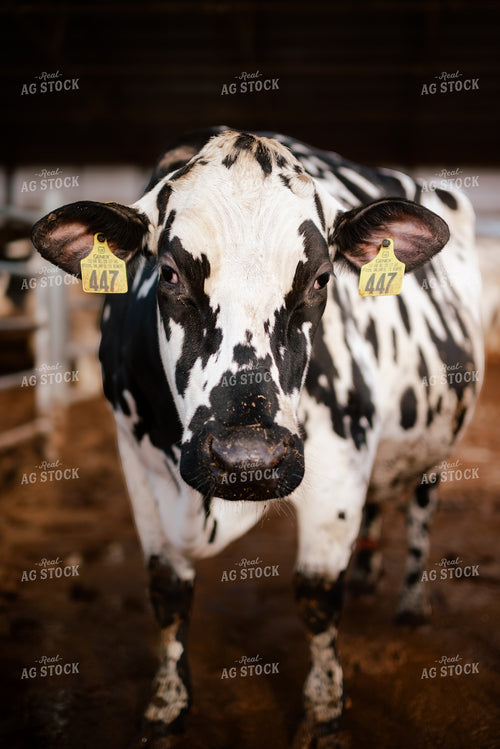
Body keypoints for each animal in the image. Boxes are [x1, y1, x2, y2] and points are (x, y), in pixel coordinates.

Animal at [31, 127, 483, 746]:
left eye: (321, 278)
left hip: (438, 437)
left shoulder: (340, 463)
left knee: (421, 503)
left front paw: (324, 710)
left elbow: (317, 594)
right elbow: (167, 590)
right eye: (168, 273)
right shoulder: (136, 460)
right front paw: (167, 705)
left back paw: (413, 601)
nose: (247, 457)